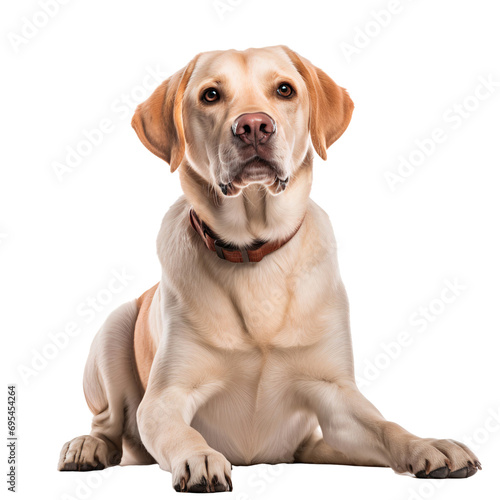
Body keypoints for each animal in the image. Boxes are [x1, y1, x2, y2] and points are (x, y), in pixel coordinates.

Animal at [57, 46, 480, 492]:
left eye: (284, 89)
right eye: (210, 95)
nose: (254, 126)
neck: (253, 250)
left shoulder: (336, 394)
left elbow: (386, 426)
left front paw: (427, 444)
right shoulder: (164, 398)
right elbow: (181, 431)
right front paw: (200, 456)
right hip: (114, 328)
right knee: (108, 424)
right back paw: (87, 447)